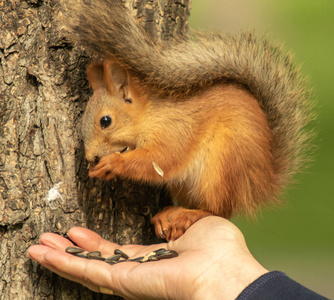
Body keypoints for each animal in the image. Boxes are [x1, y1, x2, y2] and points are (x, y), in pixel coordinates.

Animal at [62, 0, 314, 239]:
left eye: (105, 121)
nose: (90, 157)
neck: (151, 114)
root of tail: (261, 180)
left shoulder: (175, 131)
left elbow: (160, 159)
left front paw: (113, 164)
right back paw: (169, 214)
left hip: (221, 164)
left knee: (217, 211)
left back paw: (189, 216)